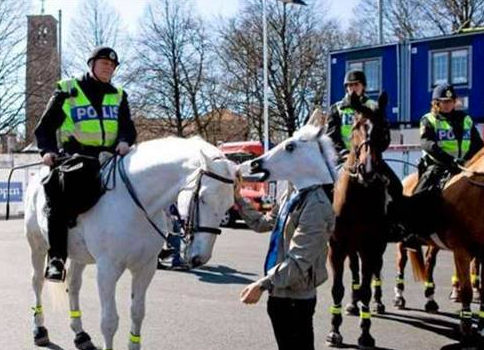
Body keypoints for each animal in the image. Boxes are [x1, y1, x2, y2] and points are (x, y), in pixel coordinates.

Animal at [24, 137, 236, 350]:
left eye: (228, 205)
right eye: (203, 198)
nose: (200, 258)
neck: (136, 205)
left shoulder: (146, 268)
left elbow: (137, 312)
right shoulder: (107, 270)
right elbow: (109, 321)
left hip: (79, 256)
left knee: (73, 285)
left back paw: (80, 334)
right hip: (37, 246)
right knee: (37, 282)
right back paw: (39, 329)